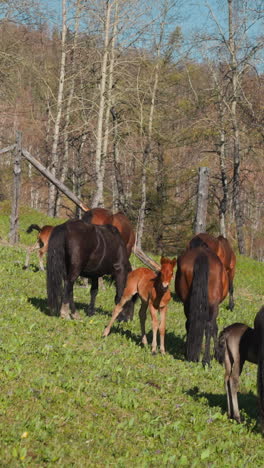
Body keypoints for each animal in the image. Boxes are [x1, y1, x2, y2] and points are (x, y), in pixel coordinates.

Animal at [174, 239, 228, 368]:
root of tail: (201, 255)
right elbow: (214, 328)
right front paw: (217, 354)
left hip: (187, 302)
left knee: (189, 322)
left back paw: (189, 354)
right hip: (213, 304)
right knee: (208, 327)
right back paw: (206, 361)